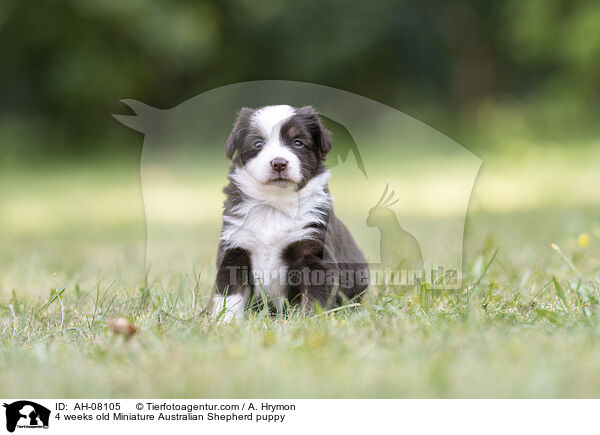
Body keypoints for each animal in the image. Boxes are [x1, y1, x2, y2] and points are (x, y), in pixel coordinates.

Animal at [213, 105, 368, 320]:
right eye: (257, 143)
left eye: (298, 142)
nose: (279, 163)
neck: (274, 205)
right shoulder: (235, 247)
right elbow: (229, 293)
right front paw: (224, 321)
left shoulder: (313, 251)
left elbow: (314, 297)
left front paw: (311, 321)